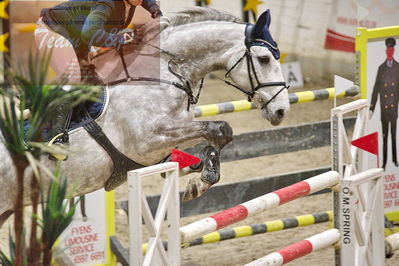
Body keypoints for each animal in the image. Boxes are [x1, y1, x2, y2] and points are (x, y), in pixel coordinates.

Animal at [0, 7, 290, 225]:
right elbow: (220, 128)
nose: (281, 111)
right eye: (264, 59)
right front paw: (204, 178)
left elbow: (209, 138)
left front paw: (198, 177)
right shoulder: (148, 139)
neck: (164, 70)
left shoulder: (170, 135)